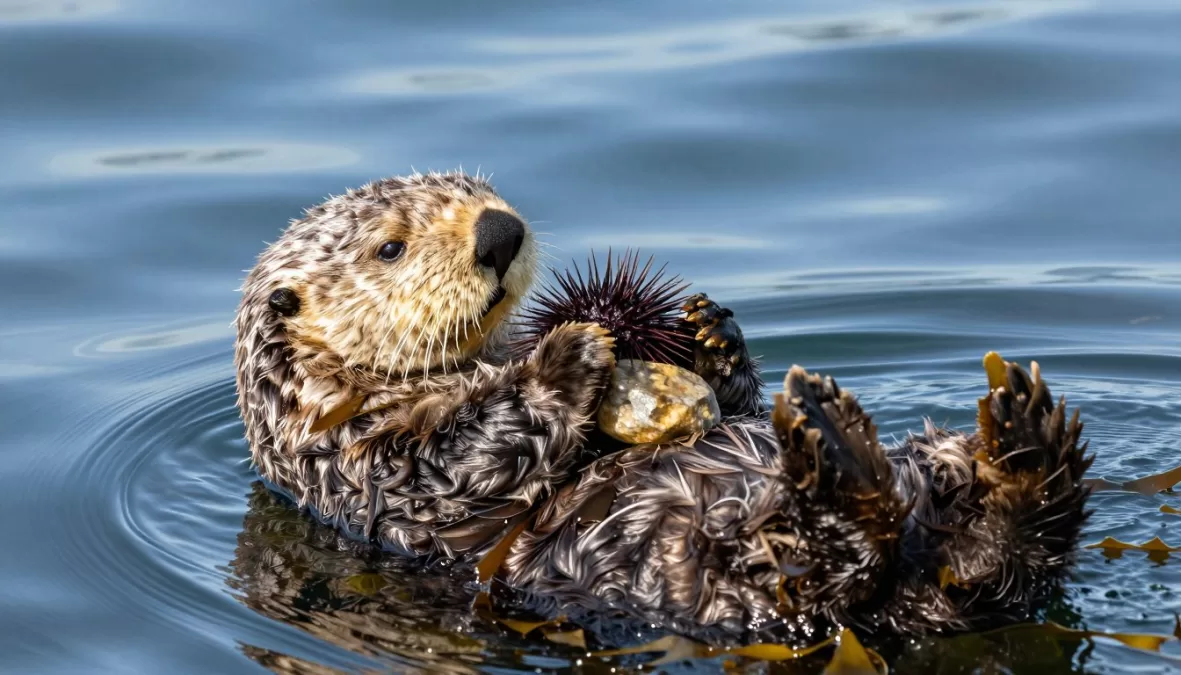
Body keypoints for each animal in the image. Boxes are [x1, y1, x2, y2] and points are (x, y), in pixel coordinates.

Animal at [234, 171, 1092, 645]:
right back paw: (837, 451)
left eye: (481, 194)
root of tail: (922, 601)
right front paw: (570, 352)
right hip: (744, 570)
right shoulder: (360, 464)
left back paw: (1018, 436)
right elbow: (461, 458)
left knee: (1003, 541)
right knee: (848, 556)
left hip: (944, 498)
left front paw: (713, 336)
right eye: (389, 248)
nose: (500, 230)